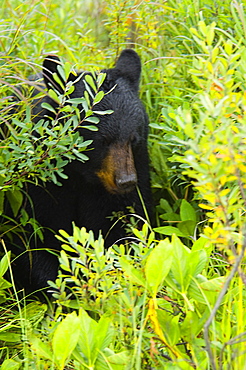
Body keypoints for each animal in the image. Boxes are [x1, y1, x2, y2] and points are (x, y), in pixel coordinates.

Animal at [6, 49, 151, 294]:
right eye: (103, 140)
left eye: (133, 138)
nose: (126, 181)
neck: (81, 174)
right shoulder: (39, 187)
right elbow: (30, 239)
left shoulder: (137, 167)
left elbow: (130, 226)